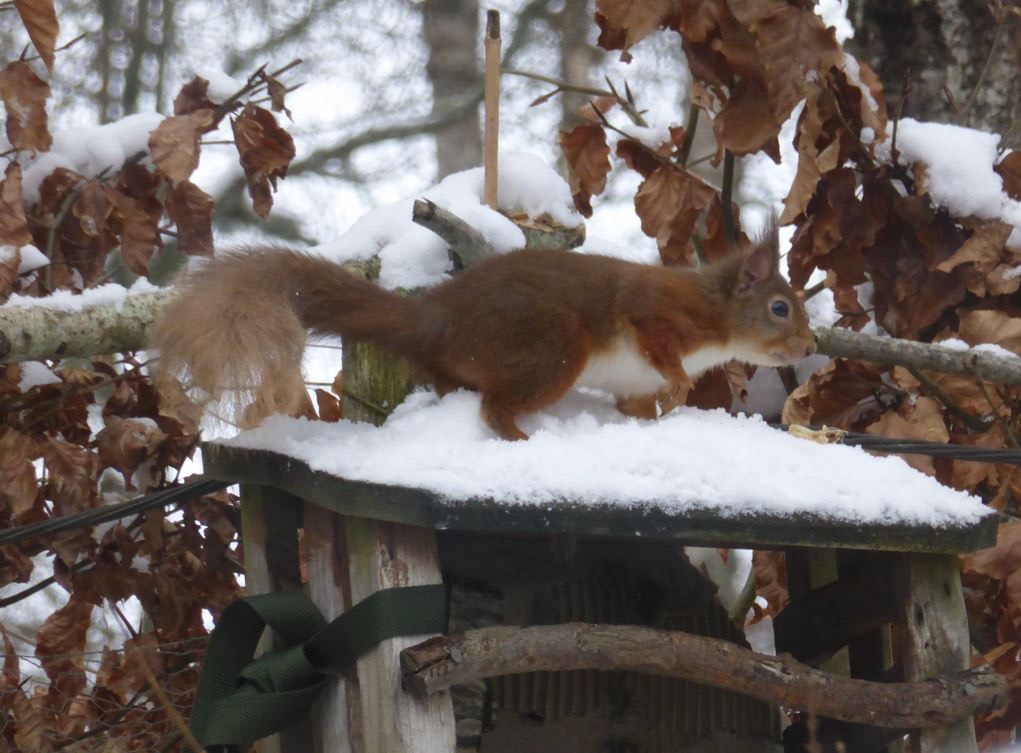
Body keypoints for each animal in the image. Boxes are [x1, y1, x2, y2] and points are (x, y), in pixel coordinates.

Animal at [151, 231, 816, 440]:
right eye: (780, 307)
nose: (810, 348)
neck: (715, 317)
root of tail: (439, 320)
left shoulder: (632, 382)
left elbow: (636, 404)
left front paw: (656, 415)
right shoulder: (657, 315)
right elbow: (657, 344)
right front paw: (678, 386)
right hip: (554, 346)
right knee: (494, 406)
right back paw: (521, 439)